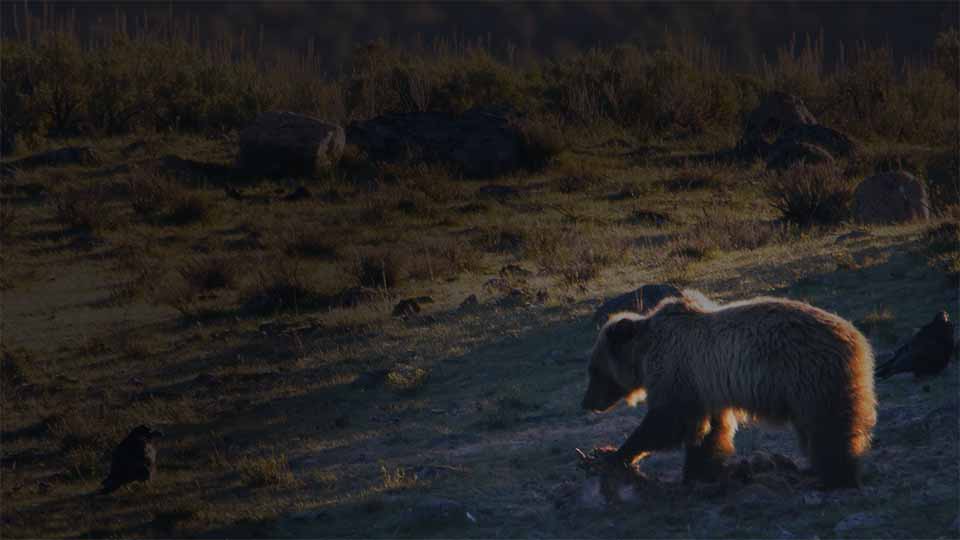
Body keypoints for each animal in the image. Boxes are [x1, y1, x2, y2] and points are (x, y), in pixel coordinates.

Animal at [580, 292, 880, 490]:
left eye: (594, 370)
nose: (587, 402)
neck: (644, 352)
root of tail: (858, 339)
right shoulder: (705, 385)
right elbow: (711, 429)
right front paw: (702, 471)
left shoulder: (677, 371)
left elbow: (668, 421)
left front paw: (613, 454)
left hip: (809, 376)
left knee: (828, 427)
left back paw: (836, 476)